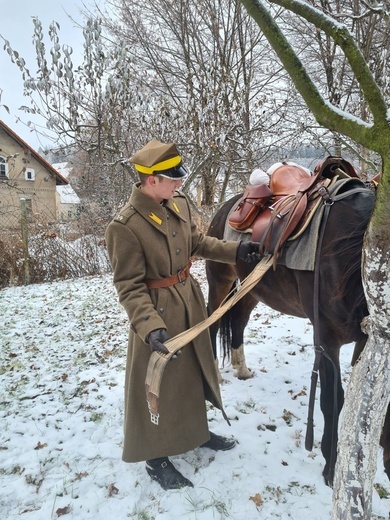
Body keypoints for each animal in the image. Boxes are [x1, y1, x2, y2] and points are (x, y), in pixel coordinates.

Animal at [206, 176, 388, 488]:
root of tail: (229, 204)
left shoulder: (367, 341)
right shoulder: (326, 340)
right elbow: (332, 401)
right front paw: (331, 466)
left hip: (253, 288)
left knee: (239, 321)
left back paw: (242, 369)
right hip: (220, 280)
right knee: (213, 323)